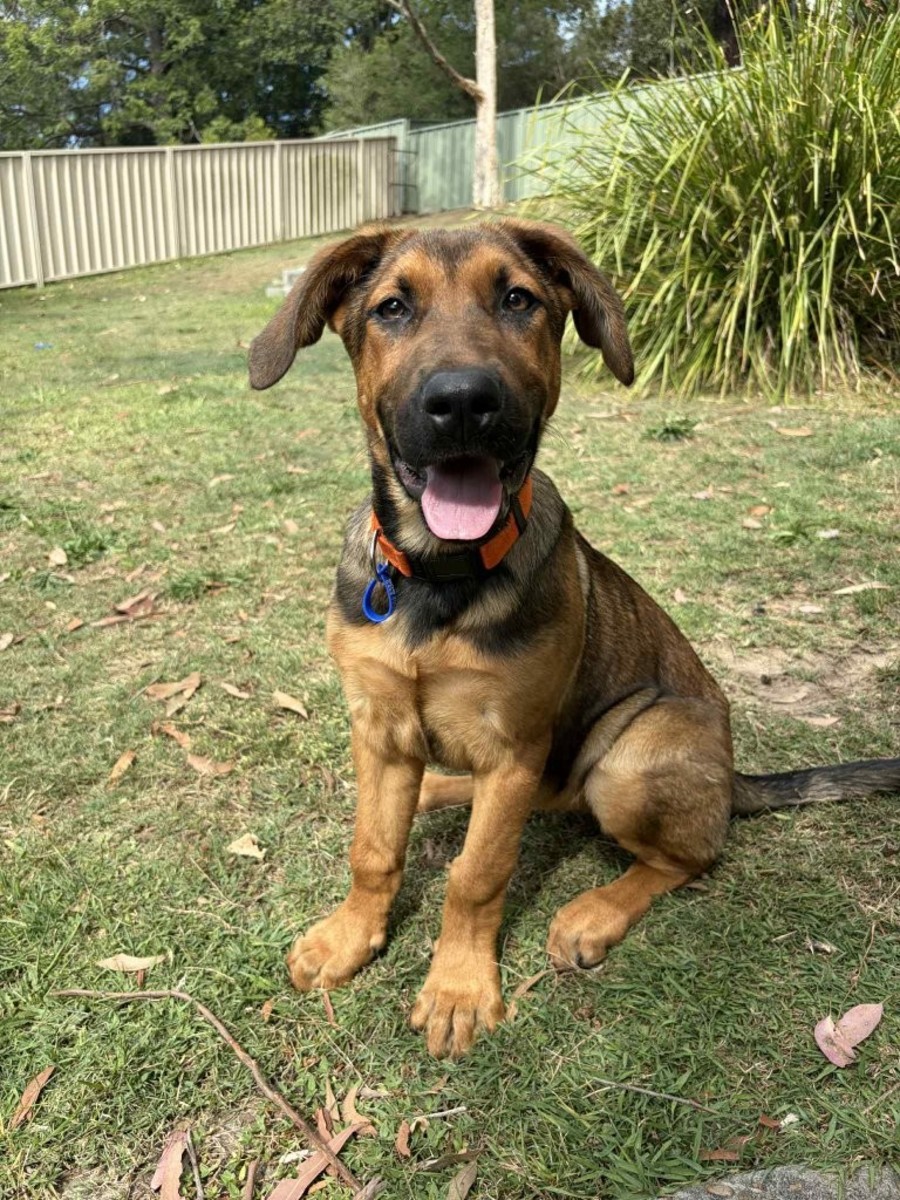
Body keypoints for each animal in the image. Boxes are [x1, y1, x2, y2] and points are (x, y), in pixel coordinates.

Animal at [249, 219, 900, 1059]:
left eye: (518, 299)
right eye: (392, 307)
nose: (463, 402)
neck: (439, 575)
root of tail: (733, 778)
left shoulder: (513, 743)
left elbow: (477, 874)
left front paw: (458, 988)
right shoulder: (379, 728)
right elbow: (374, 851)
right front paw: (348, 938)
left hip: (630, 755)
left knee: (689, 854)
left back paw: (594, 911)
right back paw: (440, 792)